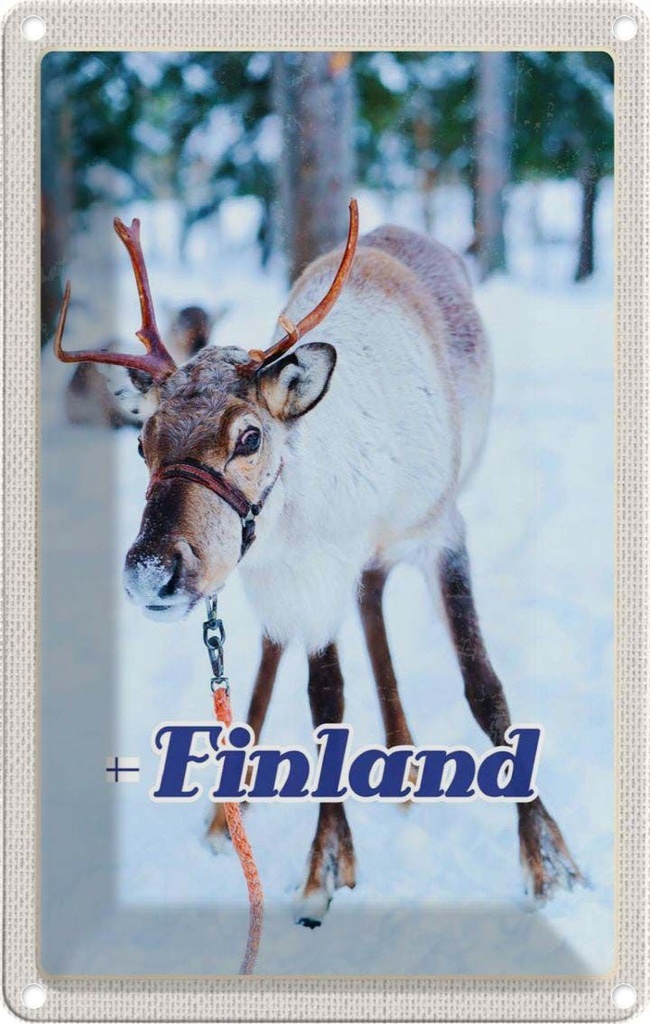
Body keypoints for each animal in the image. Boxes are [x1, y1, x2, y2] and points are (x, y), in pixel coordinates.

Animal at [54, 202, 584, 928]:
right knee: (290, 645)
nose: (150, 570)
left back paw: (403, 761)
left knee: (372, 596)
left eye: (249, 437)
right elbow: (324, 701)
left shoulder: (442, 530)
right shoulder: (304, 578)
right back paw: (232, 812)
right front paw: (326, 864)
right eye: (142, 442)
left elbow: (485, 689)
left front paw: (549, 863)